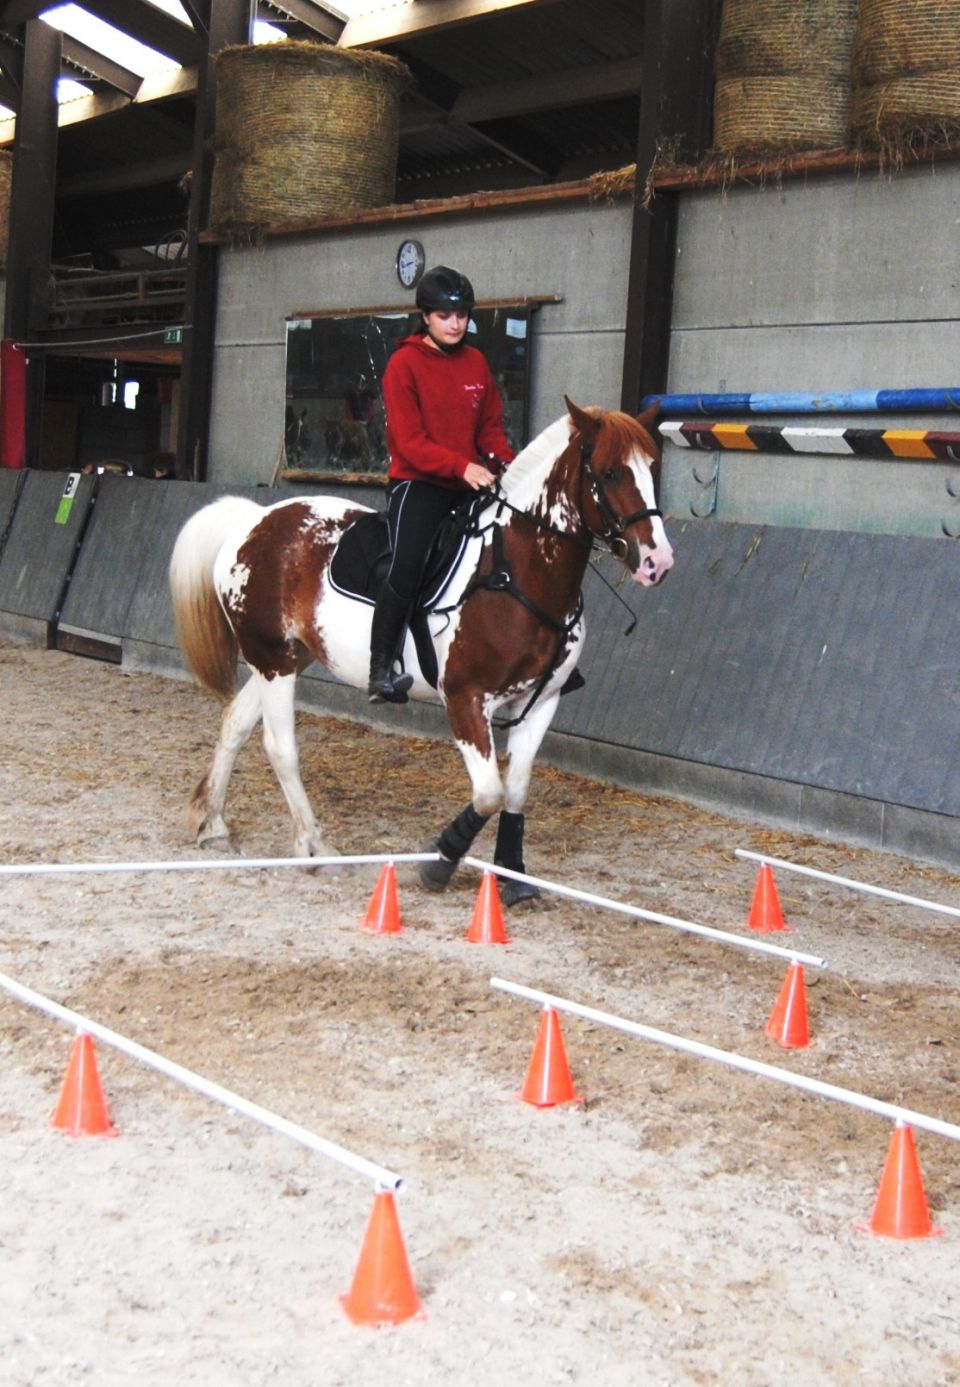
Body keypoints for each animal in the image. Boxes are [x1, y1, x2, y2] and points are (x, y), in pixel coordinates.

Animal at [168, 396, 671, 904]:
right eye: (609, 472)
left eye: (652, 466)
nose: (657, 562)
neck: (516, 572)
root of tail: (255, 521)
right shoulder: (466, 700)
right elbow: (489, 793)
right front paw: (438, 861)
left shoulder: (540, 702)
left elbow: (514, 791)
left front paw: (512, 876)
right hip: (273, 659)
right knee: (280, 746)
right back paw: (314, 848)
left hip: (286, 656)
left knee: (236, 722)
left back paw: (213, 825)